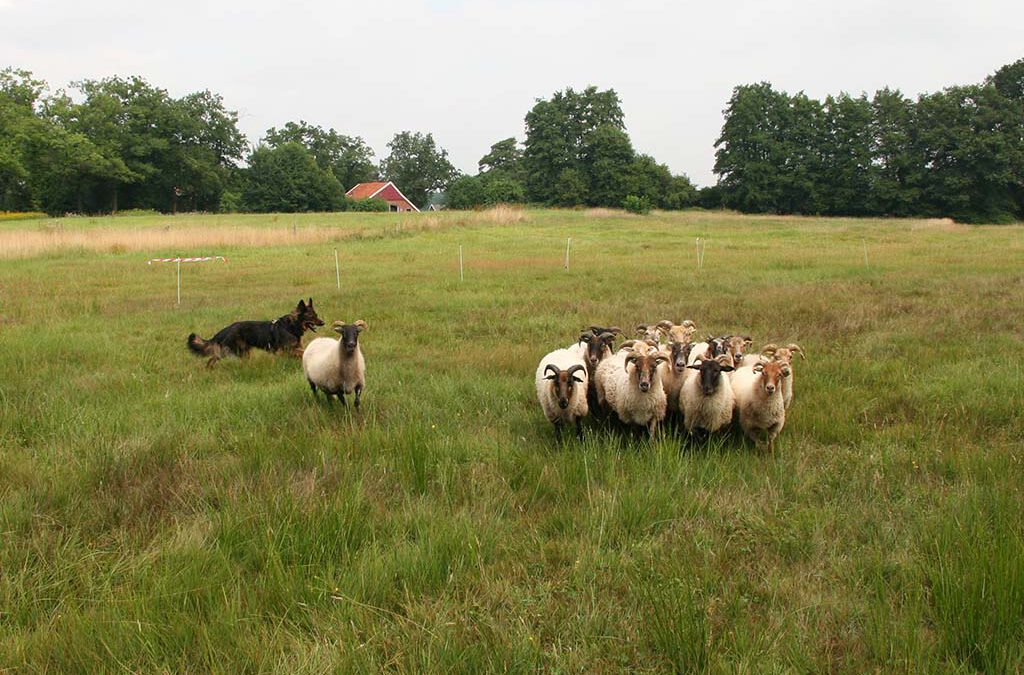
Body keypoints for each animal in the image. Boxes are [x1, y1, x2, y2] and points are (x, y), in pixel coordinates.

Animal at [187, 299, 323, 366]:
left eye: (316, 315)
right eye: (311, 316)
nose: (323, 322)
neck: (291, 326)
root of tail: (226, 329)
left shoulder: (291, 350)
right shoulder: (286, 350)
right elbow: (303, 352)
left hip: (239, 352)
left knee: (213, 359)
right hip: (234, 350)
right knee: (212, 359)